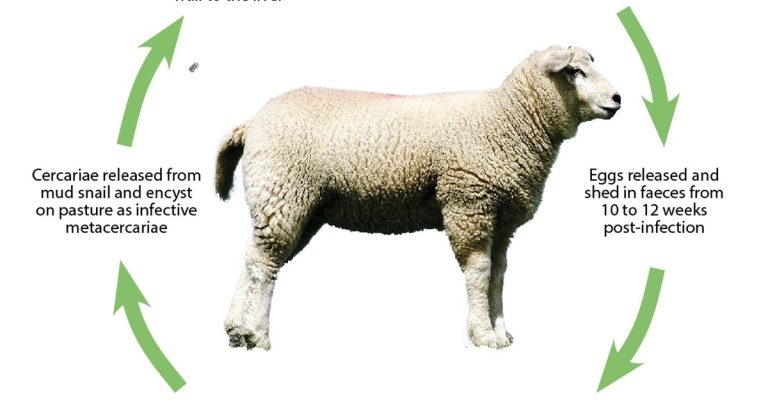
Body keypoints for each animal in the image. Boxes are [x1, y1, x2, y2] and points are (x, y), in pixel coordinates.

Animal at [216, 45, 620, 350]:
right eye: (575, 71)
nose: (618, 98)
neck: (509, 120)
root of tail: (252, 122)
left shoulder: (501, 220)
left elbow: (499, 275)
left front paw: (501, 332)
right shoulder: (468, 203)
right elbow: (479, 273)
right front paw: (483, 335)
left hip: (297, 207)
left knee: (257, 259)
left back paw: (237, 330)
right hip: (283, 193)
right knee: (263, 265)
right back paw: (257, 334)